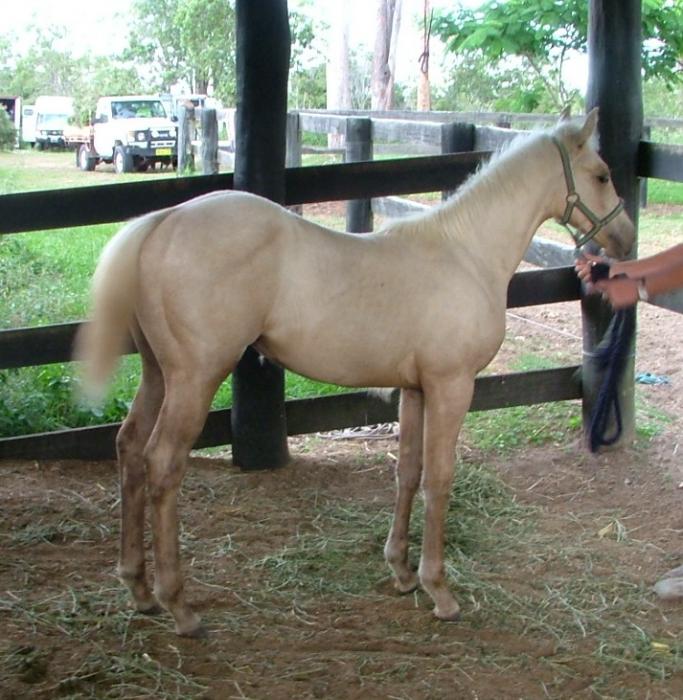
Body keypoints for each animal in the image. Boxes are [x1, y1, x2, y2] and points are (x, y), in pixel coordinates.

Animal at [76, 108, 635, 637]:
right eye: (602, 174)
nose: (626, 239)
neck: (465, 252)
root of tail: (163, 219)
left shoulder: (416, 389)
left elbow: (408, 472)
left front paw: (403, 573)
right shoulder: (452, 386)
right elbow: (440, 478)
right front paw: (439, 590)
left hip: (158, 374)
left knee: (129, 448)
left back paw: (138, 587)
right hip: (195, 378)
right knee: (162, 463)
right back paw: (179, 606)